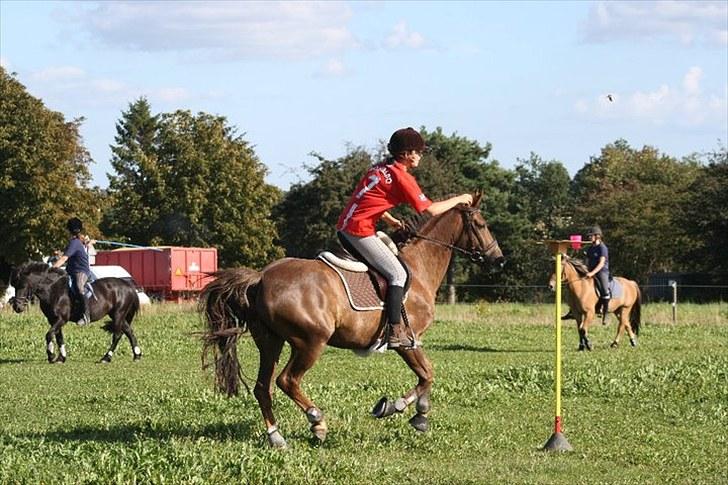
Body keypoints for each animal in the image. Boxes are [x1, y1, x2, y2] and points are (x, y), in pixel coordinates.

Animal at [202, 192, 504, 446]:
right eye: (481, 224)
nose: (498, 259)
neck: (418, 268)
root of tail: (260, 278)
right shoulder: (408, 340)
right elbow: (427, 374)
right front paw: (406, 411)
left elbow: (426, 375)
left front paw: (406, 411)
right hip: (310, 342)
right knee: (286, 381)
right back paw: (317, 422)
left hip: (270, 342)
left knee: (263, 387)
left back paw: (276, 437)